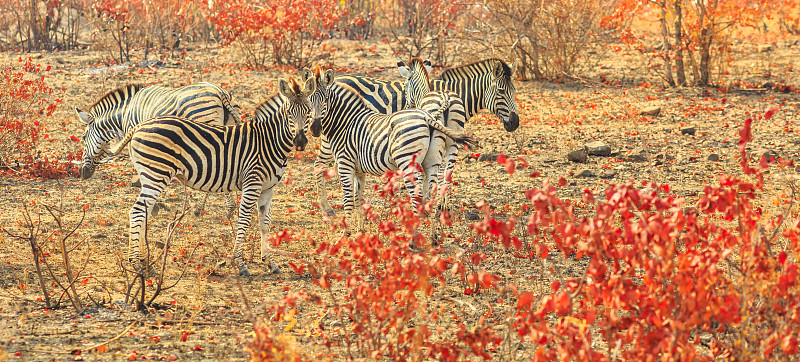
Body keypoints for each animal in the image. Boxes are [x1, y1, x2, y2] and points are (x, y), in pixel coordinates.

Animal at [77, 81, 242, 216]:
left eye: (84, 137)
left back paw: (210, 209)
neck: (124, 113)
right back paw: (221, 209)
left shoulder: (134, 138)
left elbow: (142, 170)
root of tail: (220, 92)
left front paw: (153, 206)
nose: (83, 174)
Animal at [109, 75, 316, 274]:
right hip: (156, 174)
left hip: (151, 175)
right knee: (137, 212)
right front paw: (240, 264)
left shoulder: (268, 188)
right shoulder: (252, 183)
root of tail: (139, 126)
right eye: (289, 113)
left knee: (143, 212)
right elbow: (244, 221)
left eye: (308, 112)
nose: (300, 142)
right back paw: (136, 264)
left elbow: (265, 223)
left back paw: (146, 263)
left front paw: (271, 263)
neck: (269, 141)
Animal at [304, 66, 472, 228]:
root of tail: (426, 117)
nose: (315, 128)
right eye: (308, 100)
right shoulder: (359, 170)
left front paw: (347, 232)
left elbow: (349, 200)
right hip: (432, 160)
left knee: (417, 198)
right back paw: (433, 234)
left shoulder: (345, 164)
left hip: (407, 162)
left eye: (326, 99)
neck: (346, 122)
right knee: (432, 194)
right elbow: (358, 198)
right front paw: (360, 231)